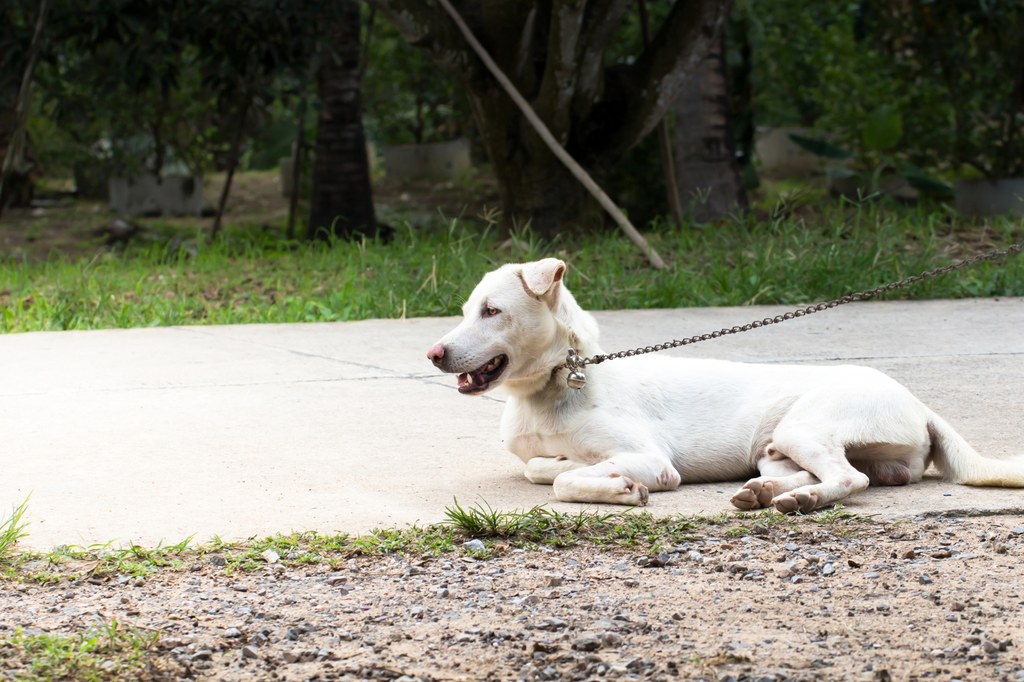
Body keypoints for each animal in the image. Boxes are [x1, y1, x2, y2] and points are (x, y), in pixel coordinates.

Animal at [428, 258, 1019, 507]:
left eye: (491, 311)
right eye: (465, 311)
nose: (433, 354)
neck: (554, 387)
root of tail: (919, 403)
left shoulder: (651, 458)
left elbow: (563, 480)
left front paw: (617, 487)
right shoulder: (537, 454)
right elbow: (540, 469)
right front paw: (577, 469)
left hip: (806, 427)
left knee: (850, 480)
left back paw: (800, 502)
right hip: (776, 448)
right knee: (825, 474)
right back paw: (764, 493)